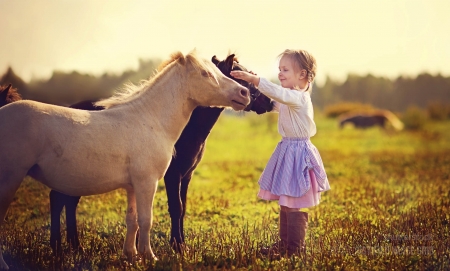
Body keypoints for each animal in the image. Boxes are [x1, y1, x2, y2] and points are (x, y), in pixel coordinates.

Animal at [0, 51, 250, 270]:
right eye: (206, 73)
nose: (244, 93)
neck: (150, 120)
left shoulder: (133, 186)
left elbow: (133, 220)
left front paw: (131, 256)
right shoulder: (148, 182)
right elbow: (147, 219)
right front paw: (150, 257)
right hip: (11, 179)